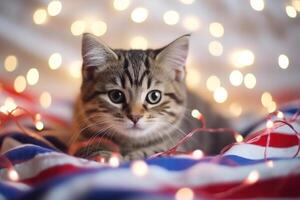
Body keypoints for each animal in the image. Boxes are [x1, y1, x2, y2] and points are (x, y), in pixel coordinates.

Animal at [73, 33, 234, 161]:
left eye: (154, 96)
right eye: (116, 96)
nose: (135, 117)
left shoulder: (182, 146)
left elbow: (159, 151)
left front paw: (135, 156)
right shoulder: (79, 134)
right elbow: (88, 146)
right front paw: (105, 155)